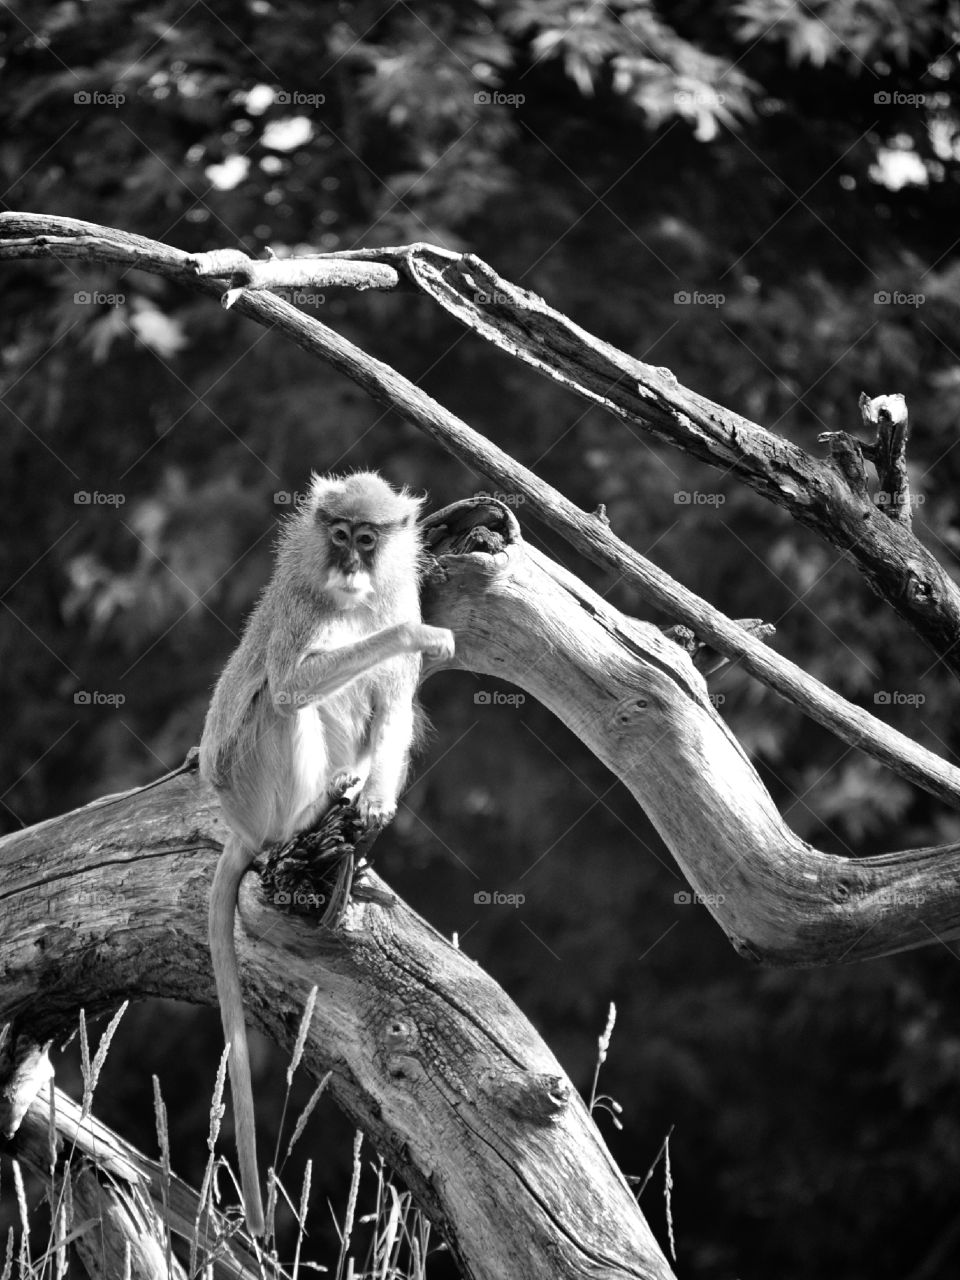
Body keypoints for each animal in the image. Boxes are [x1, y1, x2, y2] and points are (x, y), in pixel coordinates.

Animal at [199, 471, 455, 1236]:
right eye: (337, 534)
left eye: (367, 540)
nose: (348, 561)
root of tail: (242, 823)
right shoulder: (302, 610)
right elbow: (292, 685)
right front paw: (416, 638)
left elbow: (394, 698)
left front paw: (375, 804)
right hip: (255, 780)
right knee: (285, 702)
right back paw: (311, 814)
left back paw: (351, 793)